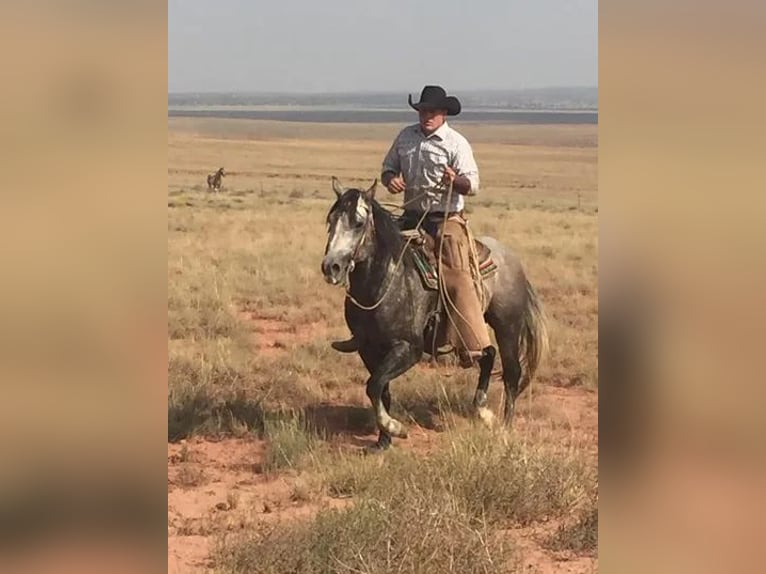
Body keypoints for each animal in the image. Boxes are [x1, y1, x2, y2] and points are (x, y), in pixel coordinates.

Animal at [320, 179, 548, 454]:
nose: (331, 267)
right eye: (330, 220)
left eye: (358, 223)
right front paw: (383, 441)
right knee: (487, 355)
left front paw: (396, 427)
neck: (385, 281)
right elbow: (380, 389)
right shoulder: (368, 349)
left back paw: (504, 426)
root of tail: (511, 257)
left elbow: (374, 385)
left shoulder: (409, 349)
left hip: (507, 326)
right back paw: (482, 410)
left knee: (512, 372)